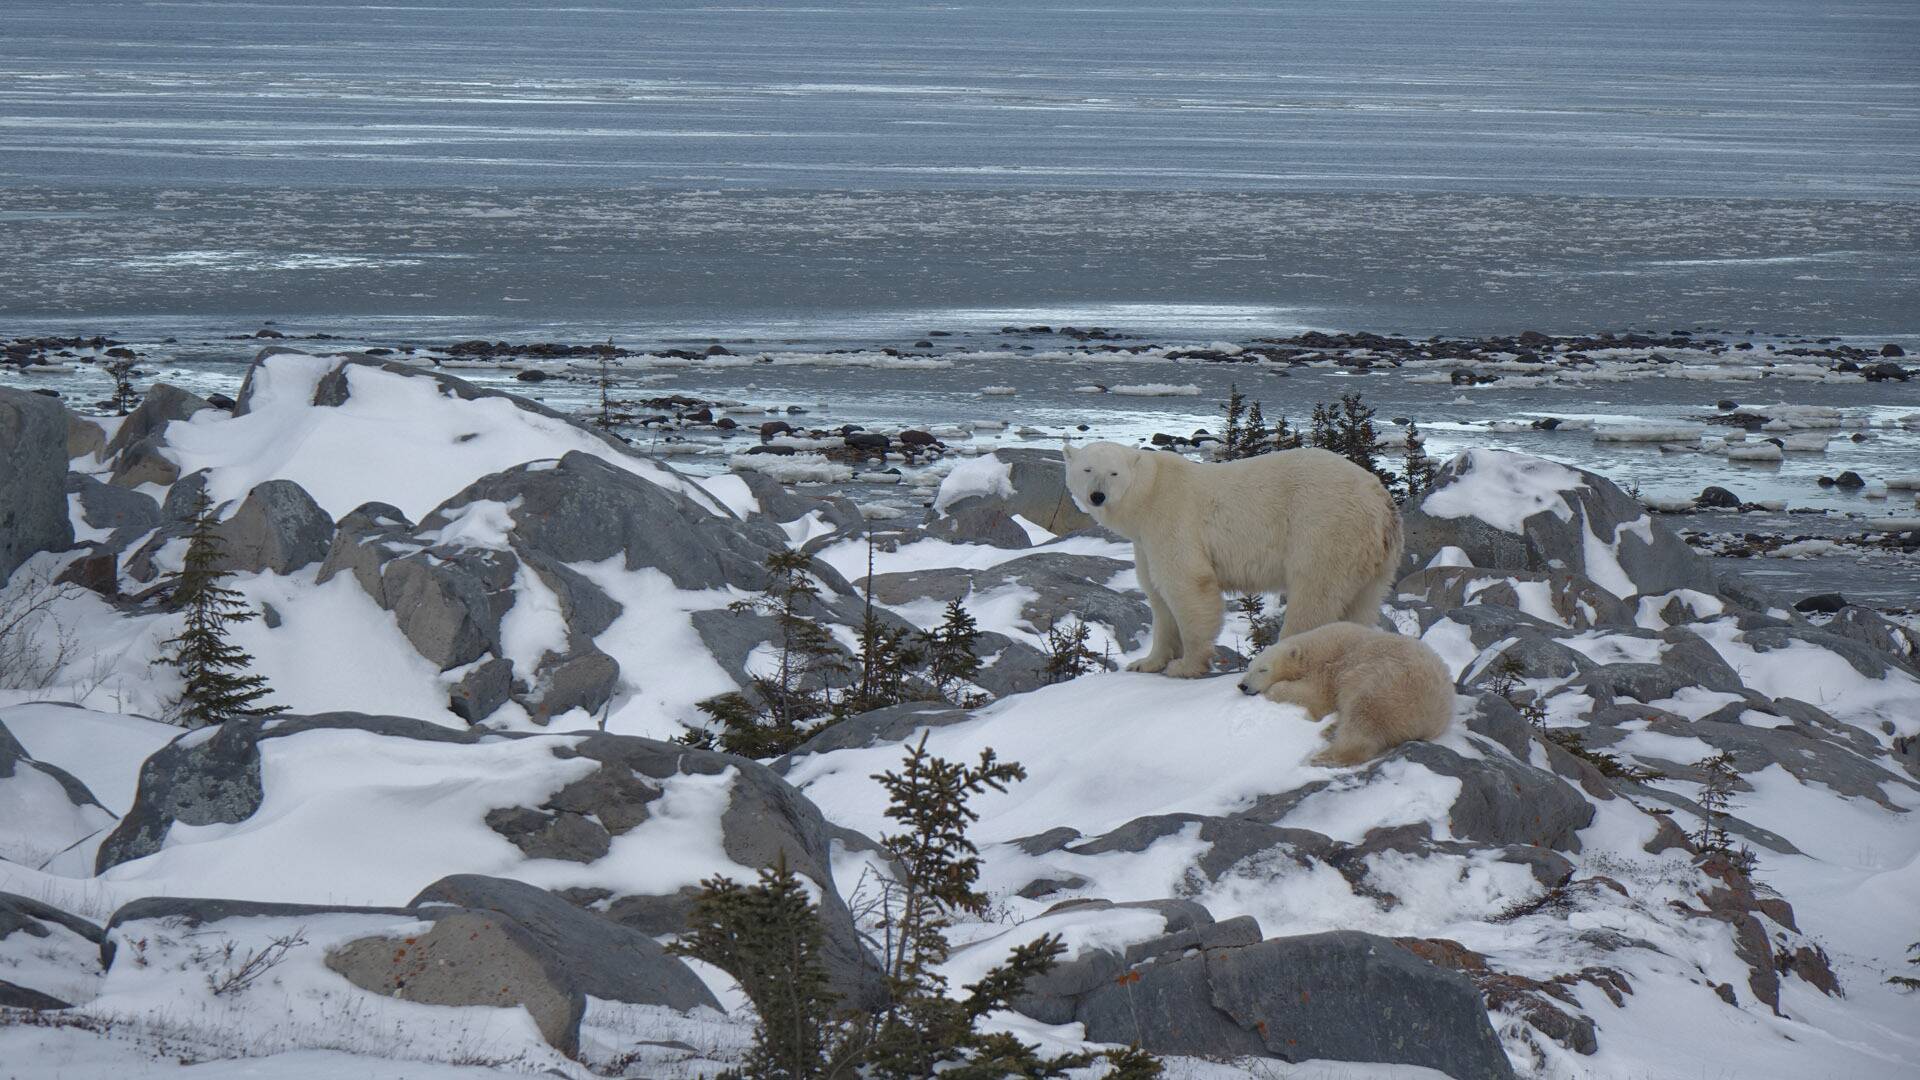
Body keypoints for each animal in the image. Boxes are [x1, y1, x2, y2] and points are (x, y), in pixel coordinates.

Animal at [1059, 438, 1405, 672]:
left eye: (1113, 473)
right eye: (1087, 469)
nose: (1097, 495)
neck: (1148, 495)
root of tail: (1381, 501)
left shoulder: (1173, 519)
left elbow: (1187, 585)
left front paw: (1186, 666)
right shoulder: (1144, 544)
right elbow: (1157, 595)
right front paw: (1147, 662)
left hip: (1325, 529)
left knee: (1314, 596)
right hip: (1372, 558)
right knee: (1362, 604)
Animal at [1236, 622, 1443, 764]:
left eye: (1263, 669)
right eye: (1250, 667)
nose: (1243, 686)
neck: (1311, 647)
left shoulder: (1327, 668)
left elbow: (1315, 696)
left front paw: (1273, 691)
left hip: (1388, 689)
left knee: (1363, 718)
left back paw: (1322, 757)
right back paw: (1331, 729)